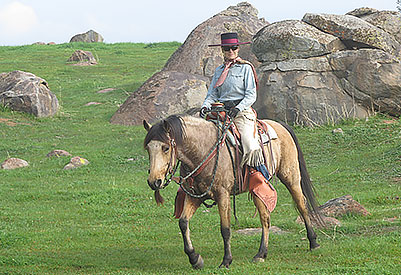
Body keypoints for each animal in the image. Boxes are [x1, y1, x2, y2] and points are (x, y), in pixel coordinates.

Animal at [142, 114, 320, 270]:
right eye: (148, 149)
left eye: (166, 148)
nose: (154, 181)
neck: (202, 151)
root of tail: (280, 125)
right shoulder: (194, 196)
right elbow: (183, 223)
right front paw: (195, 259)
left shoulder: (223, 195)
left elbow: (225, 229)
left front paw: (226, 261)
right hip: (258, 190)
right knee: (265, 217)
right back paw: (262, 254)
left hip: (291, 178)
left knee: (301, 206)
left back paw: (313, 243)